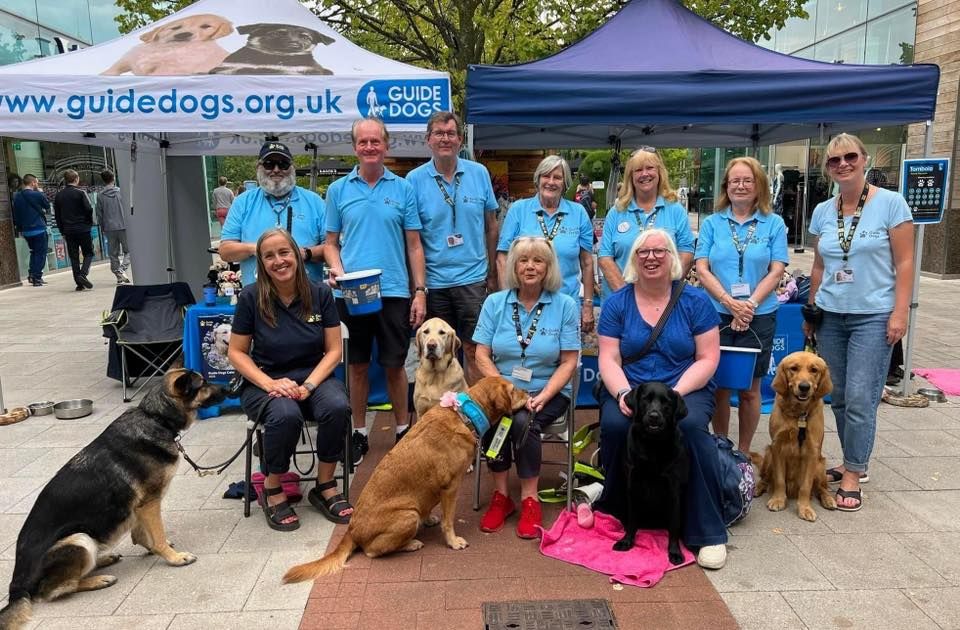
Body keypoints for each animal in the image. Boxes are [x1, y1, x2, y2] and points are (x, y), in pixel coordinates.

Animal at [0, 368, 224, 628]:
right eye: (203, 384)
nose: (231, 386)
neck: (155, 417)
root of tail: (17, 585)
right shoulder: (149, 502)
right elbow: (157, 536)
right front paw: (174, 558)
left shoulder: (138, 505)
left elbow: (142, 535)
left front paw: (155, 548)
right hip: (78, 538)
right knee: (56, 589)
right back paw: (99, 579)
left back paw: (103, 559)